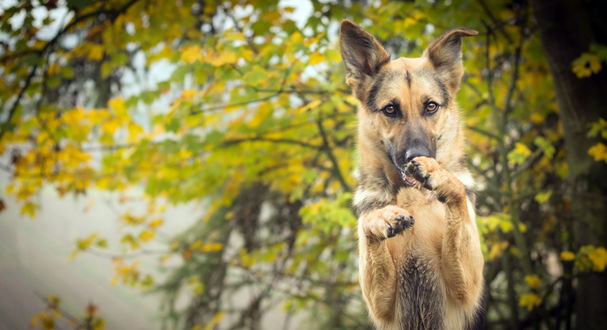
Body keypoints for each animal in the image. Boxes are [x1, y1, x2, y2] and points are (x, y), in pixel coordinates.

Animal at [340, 21, 486, 330]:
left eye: (430, 106)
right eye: (390, 109)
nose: (414, 157)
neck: (413, 198)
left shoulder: (466, 285)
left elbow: (456, 194)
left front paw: (438, 174)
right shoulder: (381, 303)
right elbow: (369, 223)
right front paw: (382, 218)